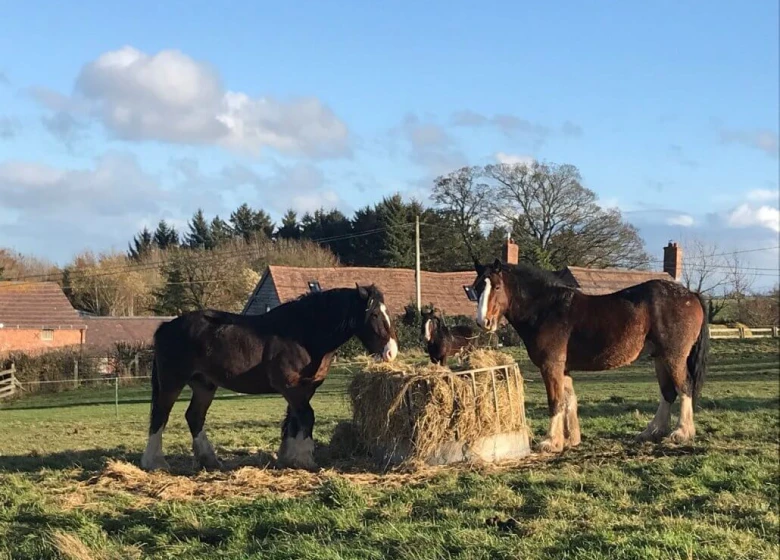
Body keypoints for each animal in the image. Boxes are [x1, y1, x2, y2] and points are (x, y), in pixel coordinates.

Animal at [140, 283, 398, 473]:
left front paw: (289, 457)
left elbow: (294, 421)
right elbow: (307, 417)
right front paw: (305, 459)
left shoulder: (305, 389)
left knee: (194, 417)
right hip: (172, 383)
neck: (303, 334)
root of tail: (166, 327)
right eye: (374, 314)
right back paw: (155, 462)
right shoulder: (291, 387)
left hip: (204, 385)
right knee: (160, 415)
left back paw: (210, 461)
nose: (391, 352)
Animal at [471, 259, 708, 453]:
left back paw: (682, 433)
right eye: (476, 288)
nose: (484, 322)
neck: (546, 309)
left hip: (673, 356)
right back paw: (653, 432)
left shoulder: (551, 366)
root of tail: (691, 295)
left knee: (684, 387)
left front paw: (551, 442)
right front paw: (570, 440)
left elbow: (555, 401)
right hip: (660, 357)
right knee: (668, 392)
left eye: (497, 286)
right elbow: (568, 400)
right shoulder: (563, 368)